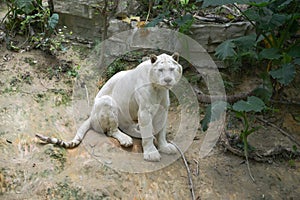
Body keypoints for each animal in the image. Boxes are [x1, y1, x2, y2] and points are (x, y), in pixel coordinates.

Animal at [37, 52, 183, 162]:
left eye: (171, 69)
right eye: (160, 70)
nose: (168, 80)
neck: (159, 89)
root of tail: (91, 116)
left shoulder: (163, 109)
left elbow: (161, 131)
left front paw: (165, 147)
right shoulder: (144, 111)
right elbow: (148, 132)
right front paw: (151, 153)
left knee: (127, 127)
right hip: (108, 102)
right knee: (112, 130)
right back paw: (126, 139)